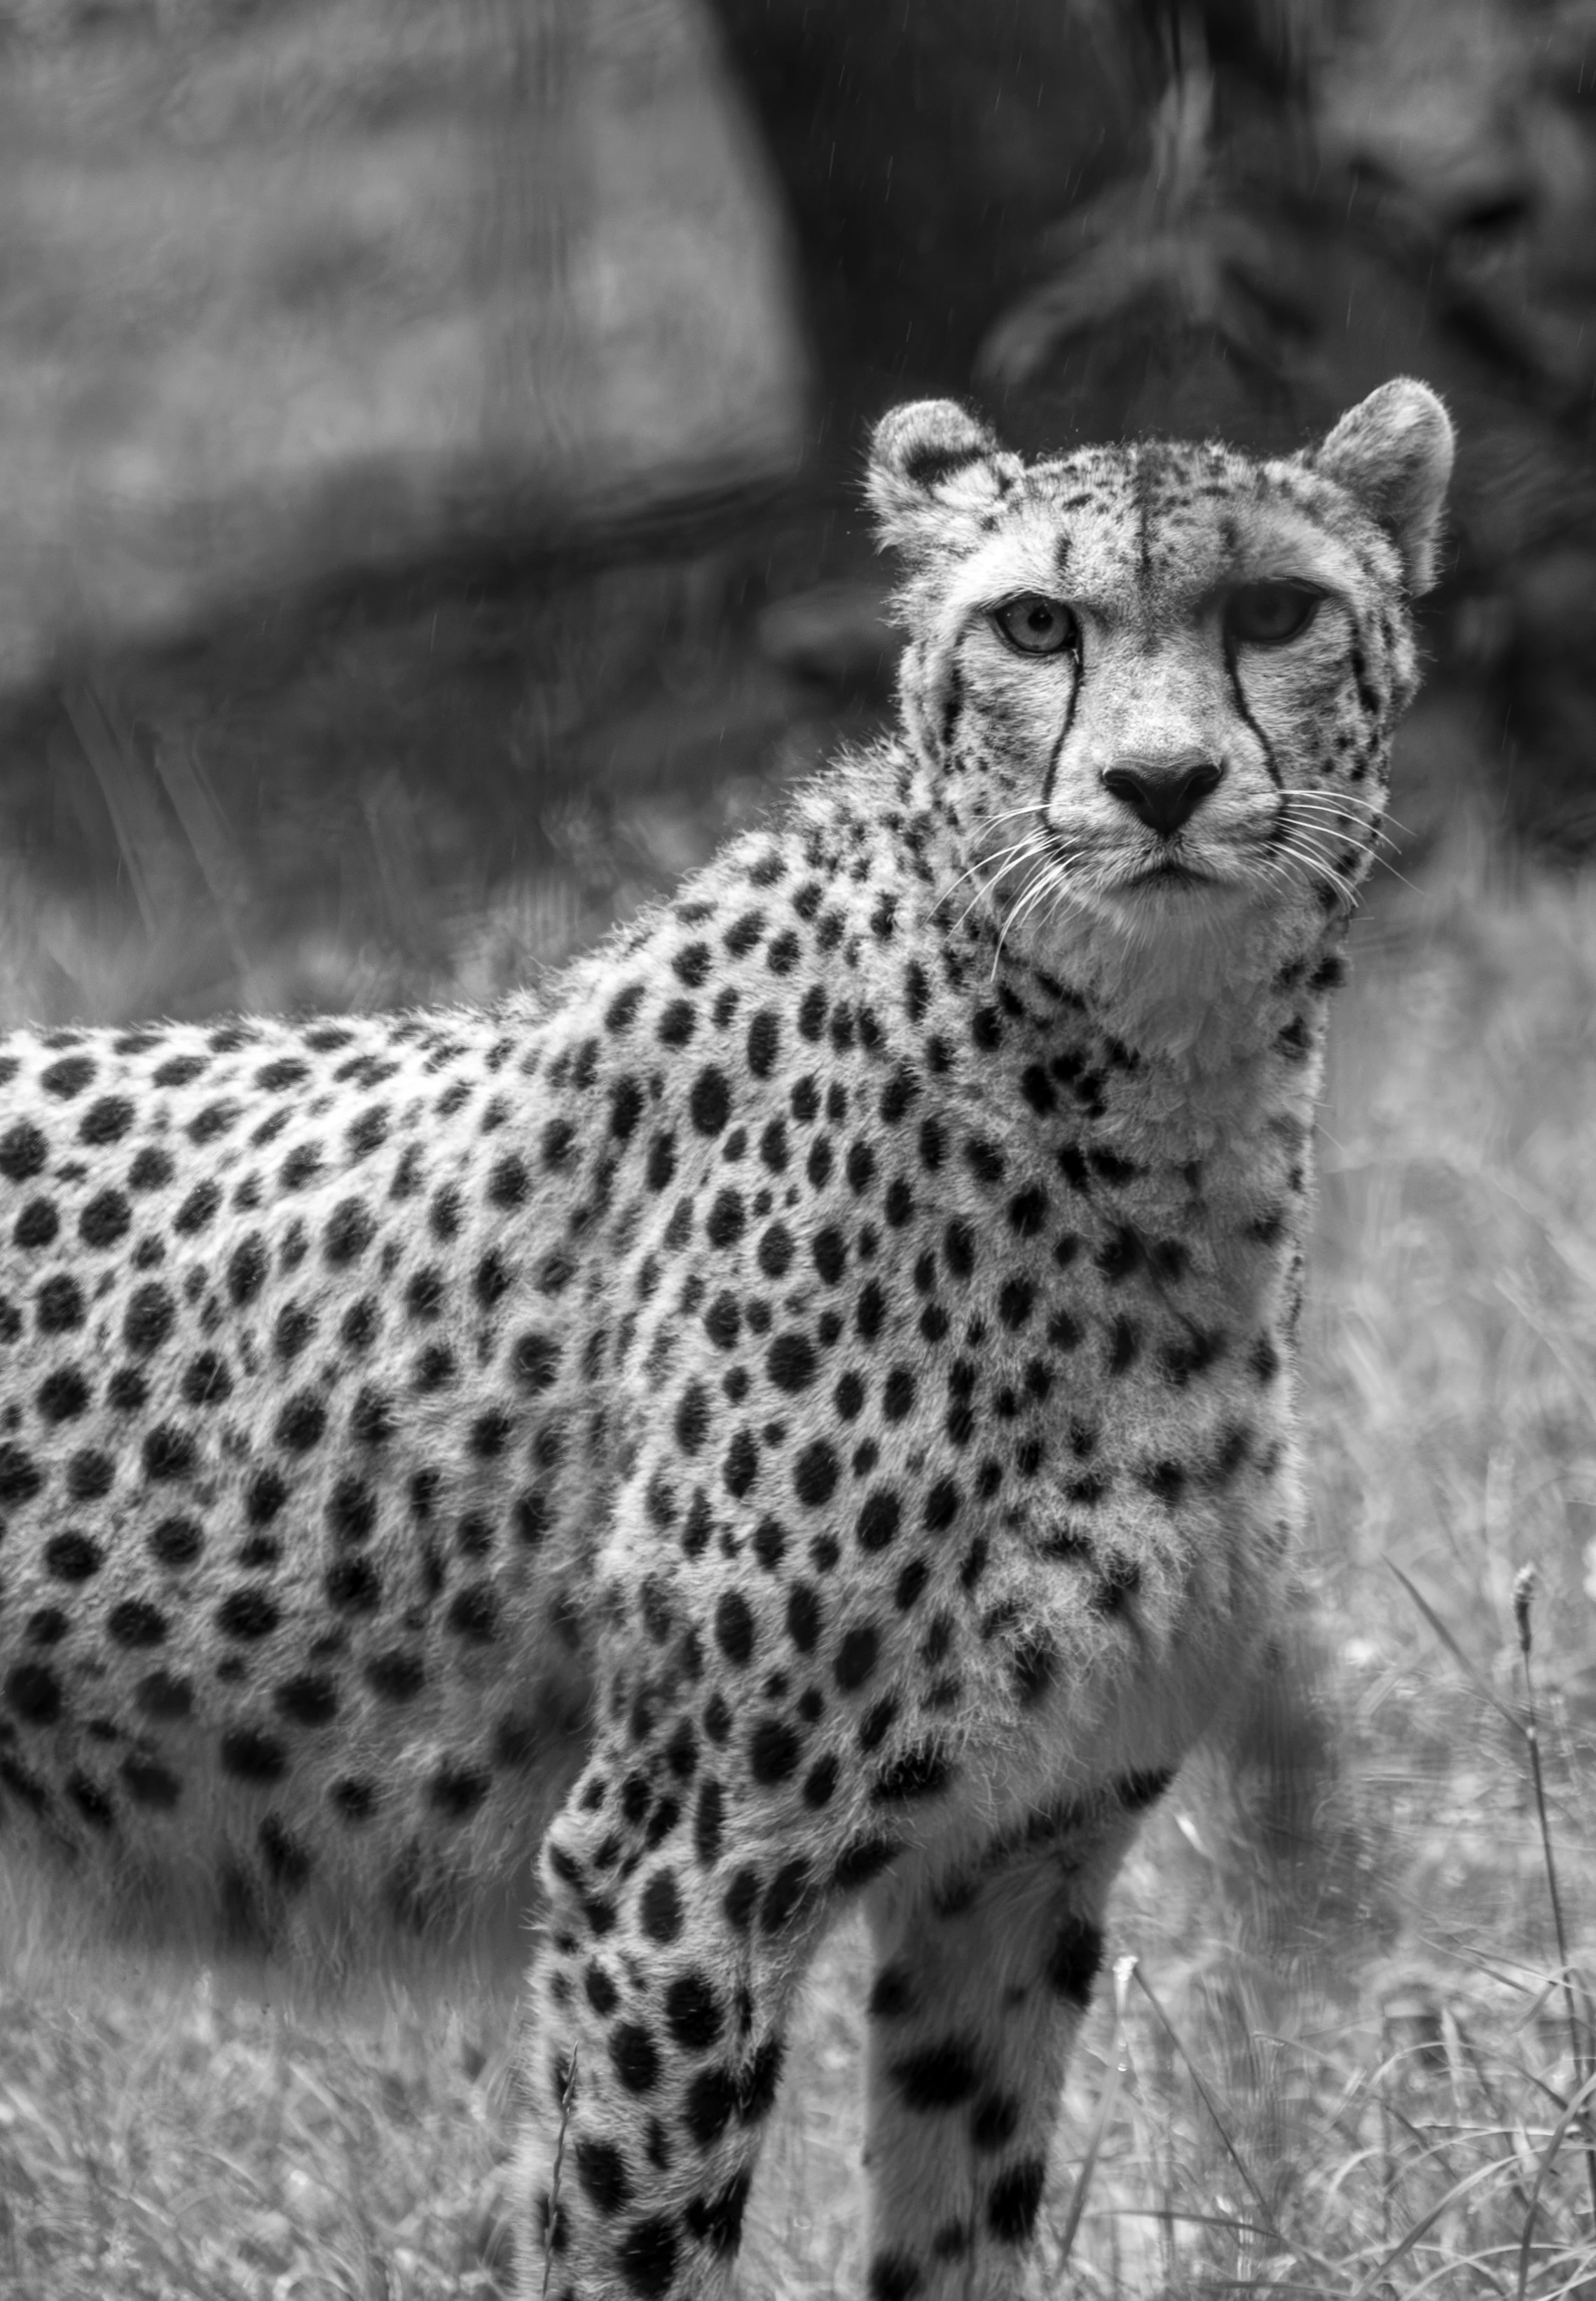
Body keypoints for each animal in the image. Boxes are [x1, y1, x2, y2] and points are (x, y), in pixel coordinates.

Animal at [0, 378, 1453, 2300]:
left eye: (1274, 611)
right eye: (1034, 624)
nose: (1159, 786)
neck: (1144, 1101)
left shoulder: (1016, 1859)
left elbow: (959, 2226)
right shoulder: (671, 1867)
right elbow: (632, 2249)